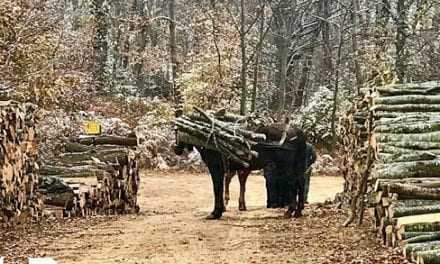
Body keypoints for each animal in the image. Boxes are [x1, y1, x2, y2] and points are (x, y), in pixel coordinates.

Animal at [174, 126, 306, 219]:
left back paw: (290, 211)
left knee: (293, 184)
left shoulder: (216, 169)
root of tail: (298, 132)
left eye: (176, 131)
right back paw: (298, 211)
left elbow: (217, 189)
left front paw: (216, 212)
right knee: (301, 183)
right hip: (296, 166)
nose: (176, 149)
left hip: (286, 167)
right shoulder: (234, 170)